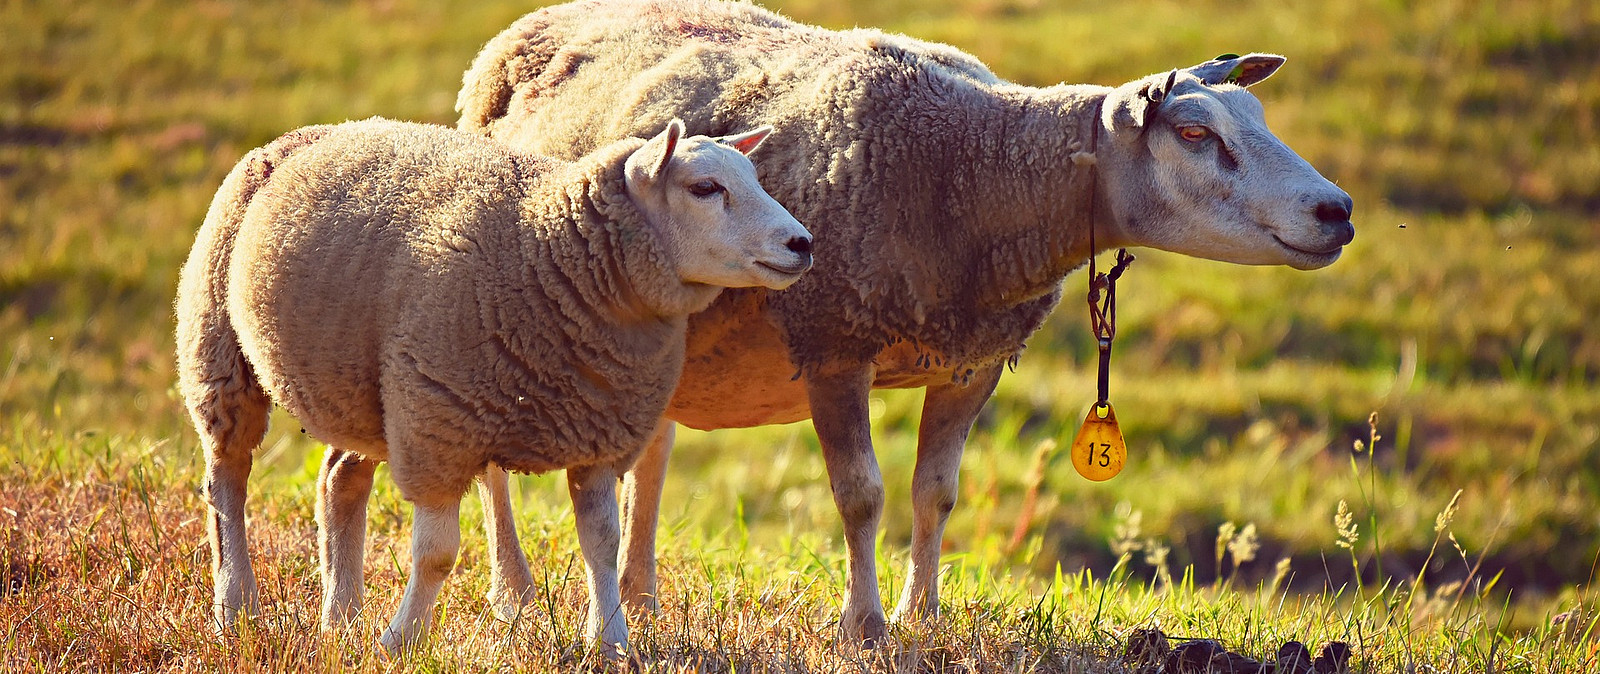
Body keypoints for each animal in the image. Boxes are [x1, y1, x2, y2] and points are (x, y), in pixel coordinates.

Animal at [175, 116, 812, 649]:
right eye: (705, 188)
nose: (802, 244)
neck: (549, 249)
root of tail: (305, 134)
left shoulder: (598, 432)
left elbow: (601, 546)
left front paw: (611, 644)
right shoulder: (439, 426)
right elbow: (437, 555)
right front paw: (400, 642)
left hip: (361, 391)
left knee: (339, 481)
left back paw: (342, 620)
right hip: (219, 353)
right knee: (226, 482)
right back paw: (237, 608)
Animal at [457, 0, 1356, 640]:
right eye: (1197, 132)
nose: (1337, 211)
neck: (974, 173)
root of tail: (526, 27)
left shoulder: (972, 360)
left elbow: (936, 494)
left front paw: (923, 614)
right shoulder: (832, 339)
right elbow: (861, 497)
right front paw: (865, 627)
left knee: (651, 455)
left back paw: (639, 598)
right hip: (503, 303)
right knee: (496, 462)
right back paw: (514, 595)